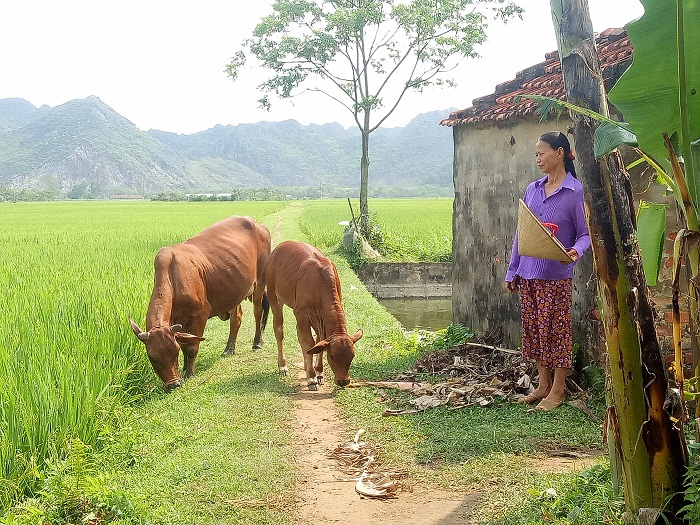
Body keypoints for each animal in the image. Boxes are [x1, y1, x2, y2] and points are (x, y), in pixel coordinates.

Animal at [129, 213, 270, 388]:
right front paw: (184, 368)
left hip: (260, 282)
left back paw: (257, 342)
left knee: (258, 311)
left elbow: (192, 346)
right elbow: (185, 342)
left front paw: (189, 373)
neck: (172, 278)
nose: (173, 385)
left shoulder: (200, 314)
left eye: (174, 352)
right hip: (234, 289)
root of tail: (258, 225)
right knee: (236, 318)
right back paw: (229, 349)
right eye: (152, 358)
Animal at [266, 241, 364, 388]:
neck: (320, 283)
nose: (343, 381)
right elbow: (308, 342)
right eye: (332, 356)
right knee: (279, 330)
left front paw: (319, 372)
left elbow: (318, 343)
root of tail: (280, 246)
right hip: (274, 297)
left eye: (352, 356)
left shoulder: (319, 319)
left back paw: (306, 366)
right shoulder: (301, 314)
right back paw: (283, 366)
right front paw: (311, 377)